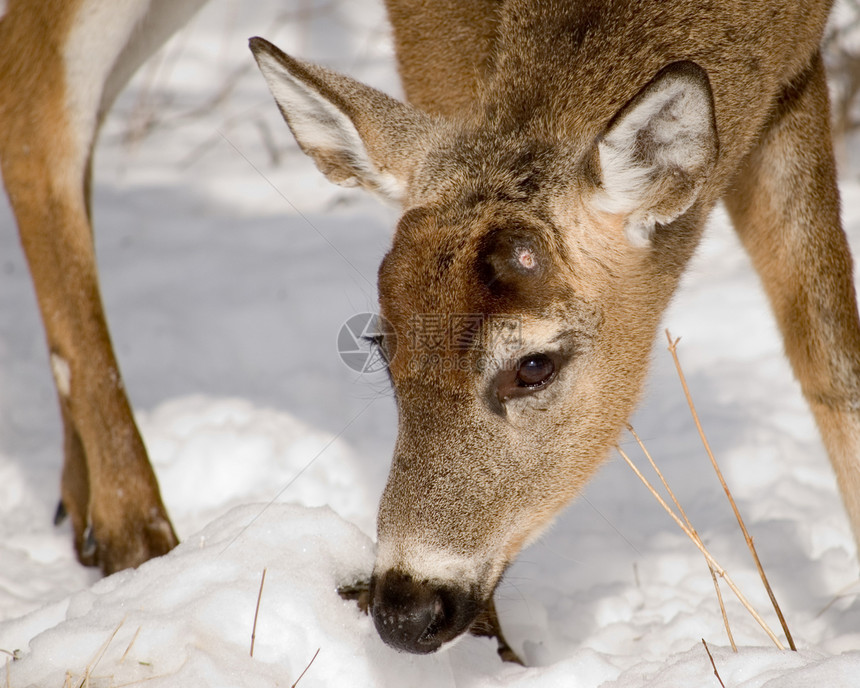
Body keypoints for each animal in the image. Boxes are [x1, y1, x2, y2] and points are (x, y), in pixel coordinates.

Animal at [0, 0, 856, 660]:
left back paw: (81, 503)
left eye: (534, 364)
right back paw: (135, 537)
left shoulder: (796, 59)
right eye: (381, 343)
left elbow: (830, 352)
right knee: (37, 104)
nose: (405, 610)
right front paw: (494, 656)